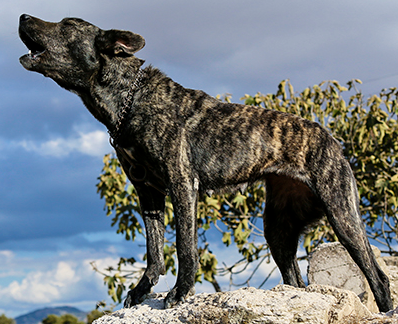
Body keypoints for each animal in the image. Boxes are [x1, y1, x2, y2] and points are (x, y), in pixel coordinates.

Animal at [17, 13, 392, 312]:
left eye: (68, 25)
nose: (22, 16)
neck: (129, 99)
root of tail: (331, 139)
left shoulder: (182, 183)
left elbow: (184, 246)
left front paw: (180, 292)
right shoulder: (147, 192)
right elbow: (154, 251)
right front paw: (142, 290)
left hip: (342, 215)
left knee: (378, 277)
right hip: (279, 228)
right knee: (297, 282)